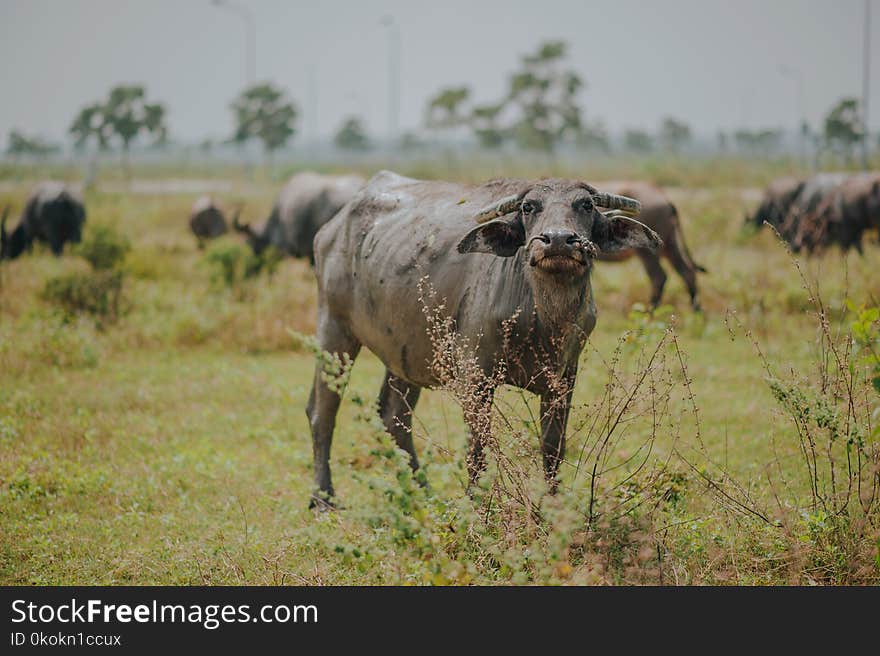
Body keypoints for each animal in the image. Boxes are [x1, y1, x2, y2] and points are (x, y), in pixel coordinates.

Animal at [308, 170, 660, 508]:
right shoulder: (475, 376)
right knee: (322, 412)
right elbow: (477, 448)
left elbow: (552, 447)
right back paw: (323, 498)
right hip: (334, 332)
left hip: (406, 353)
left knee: (393, 416)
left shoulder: (564, 379)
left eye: (585, 205)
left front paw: (552, 504)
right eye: (529, 207)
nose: (558, 240)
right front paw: (477, 504)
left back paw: (423, 492)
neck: (541, 318)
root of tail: (331, 229)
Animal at [588, 181, 704, 312]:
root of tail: (665, 197)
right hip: (670, 245)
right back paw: (696, 312)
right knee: (687, 272)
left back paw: (650, 311)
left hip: (647, 252)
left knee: (659, 277)